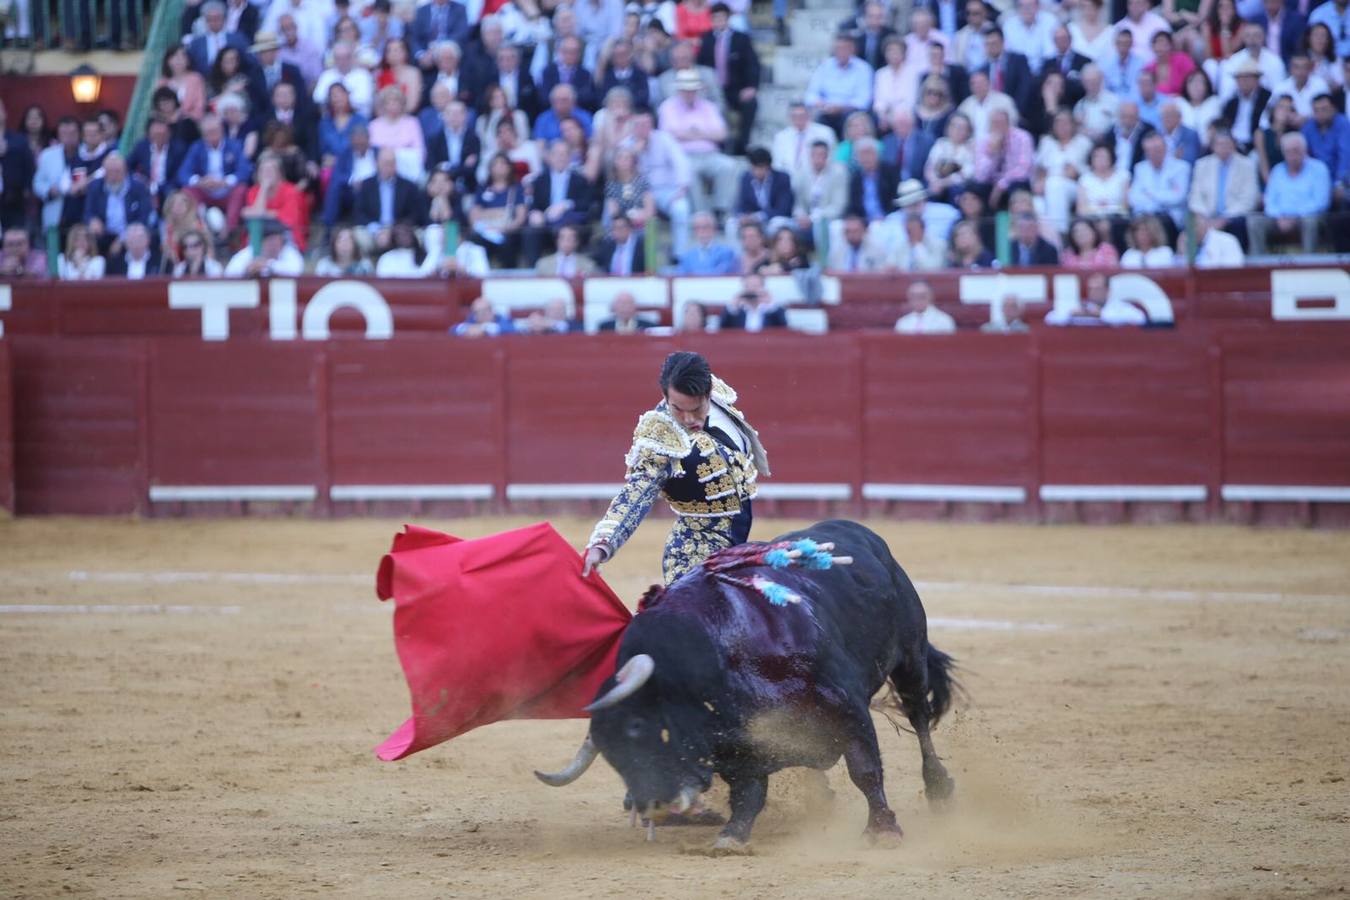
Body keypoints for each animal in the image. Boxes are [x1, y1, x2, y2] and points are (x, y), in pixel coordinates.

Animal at [537, 520, 961, 852]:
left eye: (638, 726)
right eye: (610, 755)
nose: (651, 804)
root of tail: (865, 535)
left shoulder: (846, 706)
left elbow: (866, 769)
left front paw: (883, 830)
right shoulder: (737, 741)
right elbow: (748, 790)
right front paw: (732, 836)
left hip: (910, 658)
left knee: (920, 718)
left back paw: (939, 789)